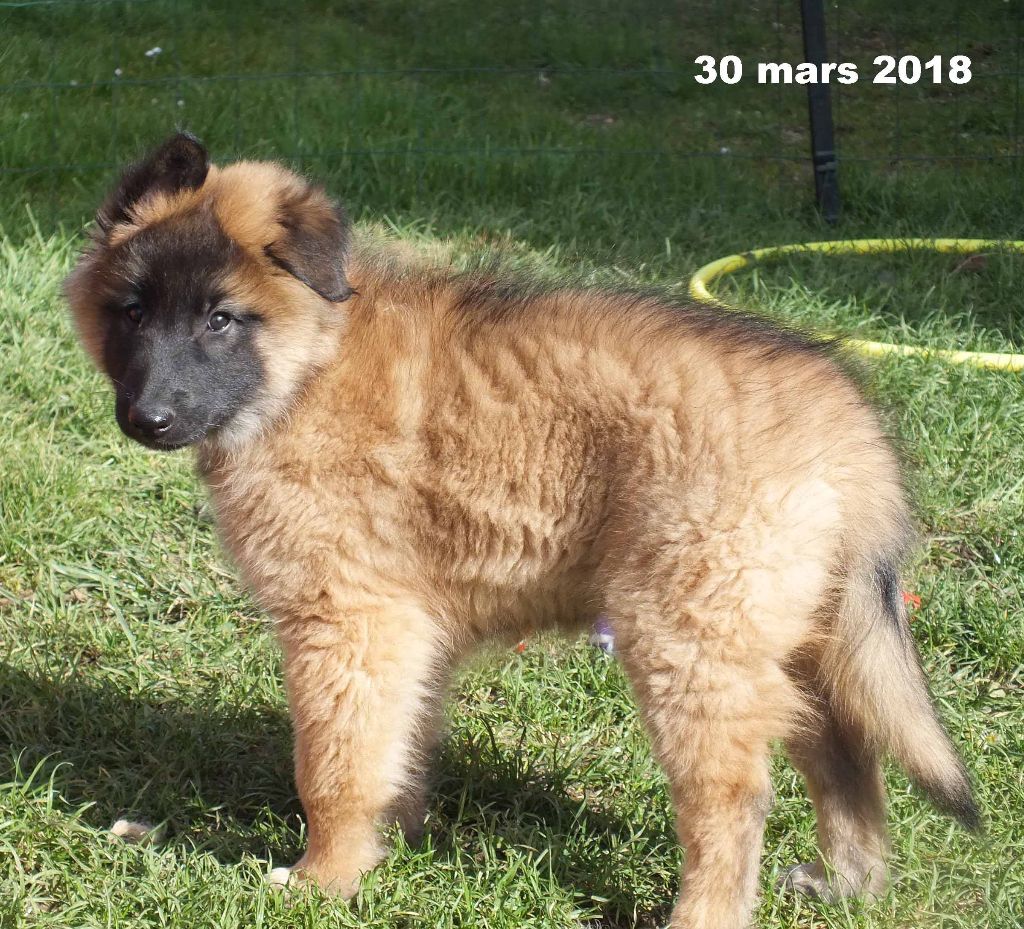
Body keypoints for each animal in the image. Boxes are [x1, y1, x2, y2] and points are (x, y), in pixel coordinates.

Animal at [66, 133, 977, 929]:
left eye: (221, 319)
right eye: (132, 312)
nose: (147, 418)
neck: (308, 367)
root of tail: (845, 420)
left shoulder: (348, 620)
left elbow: (335, 764)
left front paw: (325, 878)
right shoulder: (406, 630)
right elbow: (400, 745)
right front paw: (391, 848)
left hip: (689, 631)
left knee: (735, 795)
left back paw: (706, 913)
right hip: (791, 629)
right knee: (844, 749)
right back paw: (846, 883)